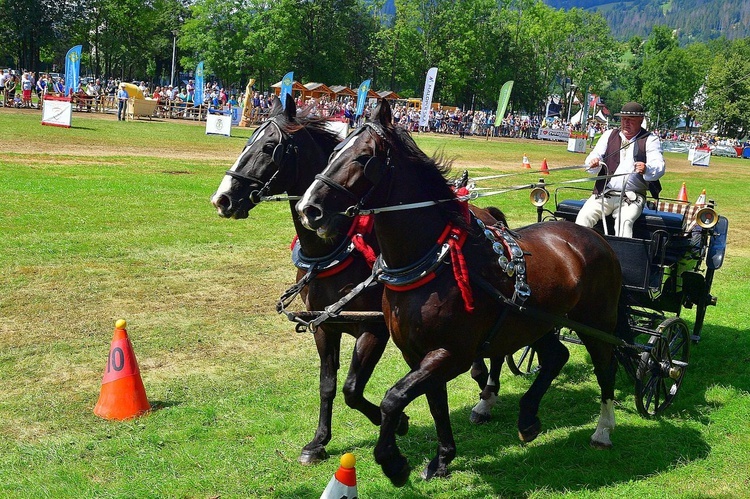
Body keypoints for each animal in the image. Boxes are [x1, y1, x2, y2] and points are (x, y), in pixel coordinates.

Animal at [212, 96, 506, 464]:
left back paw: (487, 395)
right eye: (246, 143)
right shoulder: (324, 326)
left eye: (268, 147)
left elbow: (352, 389)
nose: (222, 199)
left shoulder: (373, 329)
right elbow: (328, 385)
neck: (335, 249)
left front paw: (397, 422)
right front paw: (318, 442)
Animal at [296, 98, 624, 488]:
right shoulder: (417, 353)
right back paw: (528, 418)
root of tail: (595, 236)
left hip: (597, 322)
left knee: (606, 366)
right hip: (536, 323)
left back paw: (603, 429)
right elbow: (435, 403)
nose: (309, 208)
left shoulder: (452, 353)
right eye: (333, 151)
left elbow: (394, 398)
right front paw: (442, 458)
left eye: (363, 157)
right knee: (557, 356)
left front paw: (394, 462)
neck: (431, 263)